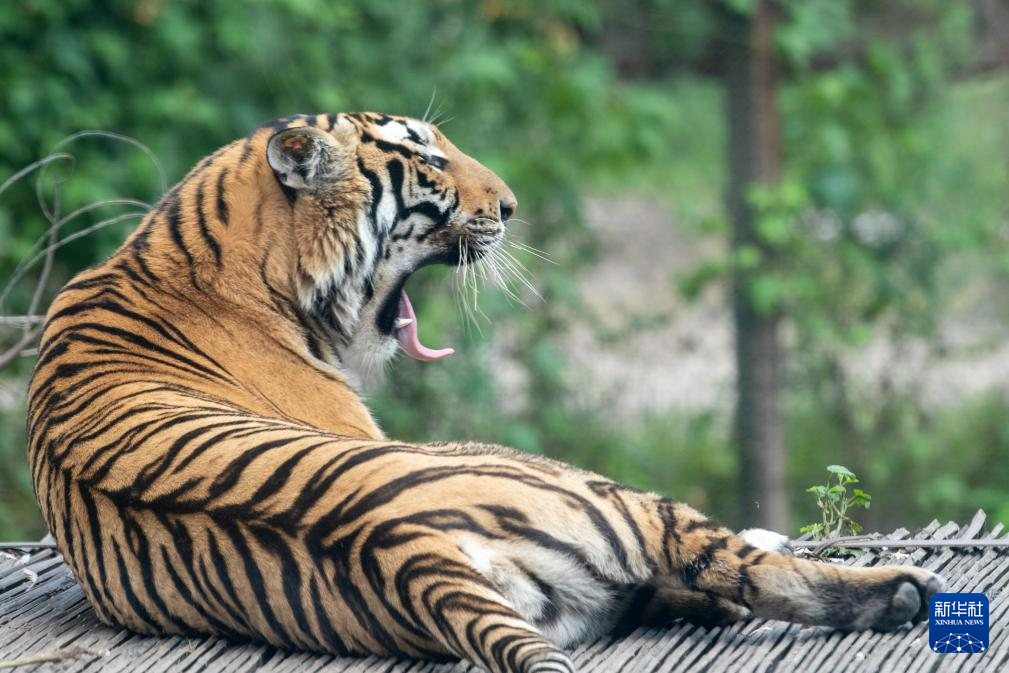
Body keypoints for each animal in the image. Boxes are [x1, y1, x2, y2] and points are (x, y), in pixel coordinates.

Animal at [27, 113, 944, 673]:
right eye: (427, 158)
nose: (509, 205)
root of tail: (407, 550)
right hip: (600, 491)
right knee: (745, 566)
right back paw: (896, 588)